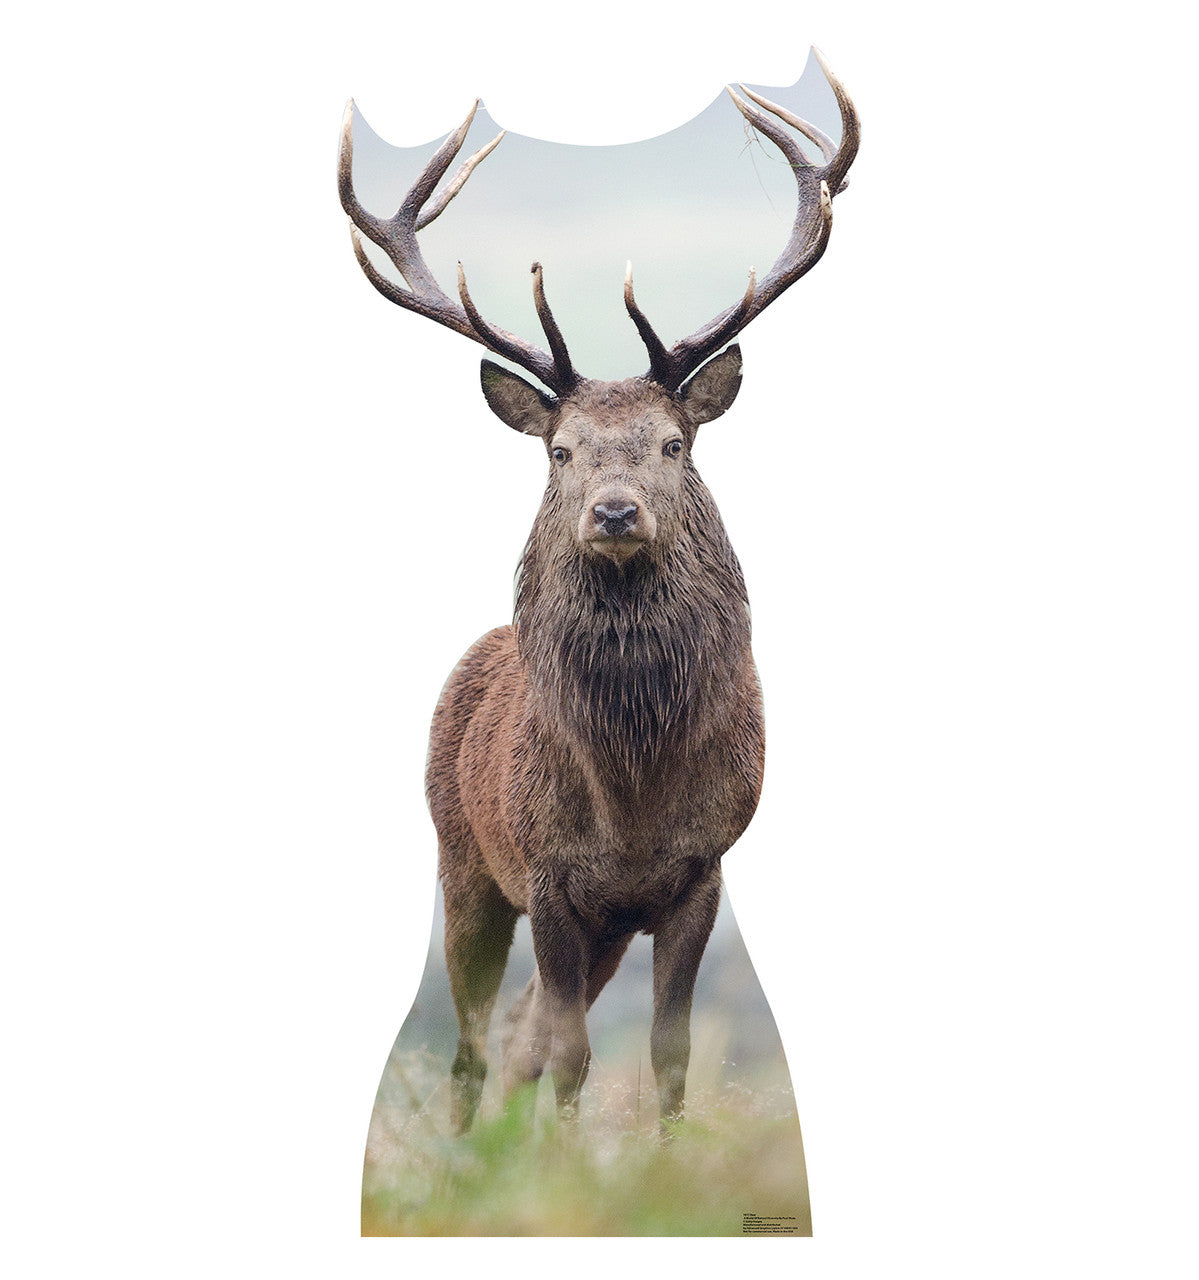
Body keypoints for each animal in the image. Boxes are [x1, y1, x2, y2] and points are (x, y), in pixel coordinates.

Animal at [338, 50, 859, 1135]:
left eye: (671, 444)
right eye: (561, 450)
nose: (614, 512)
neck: (631, 791)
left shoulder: (698, 871)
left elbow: (663, 1051)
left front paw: (653, 1156)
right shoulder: (548, 873)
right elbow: (575, 1053)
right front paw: (561, 1159)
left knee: (519, 1035)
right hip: (461, 862)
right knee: (476, 1042)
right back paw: (470, 1152)